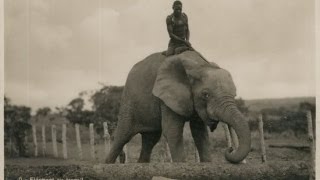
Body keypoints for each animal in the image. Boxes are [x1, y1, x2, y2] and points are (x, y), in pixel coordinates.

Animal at [105, 50, 250, 164]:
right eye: (206, 95)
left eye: (234, 94)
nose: (230, 149)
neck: (199, 65)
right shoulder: (166, 97)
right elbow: (172, 131)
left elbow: (200, 133)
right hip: (128, 101)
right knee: (123, 136)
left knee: (150, 139)